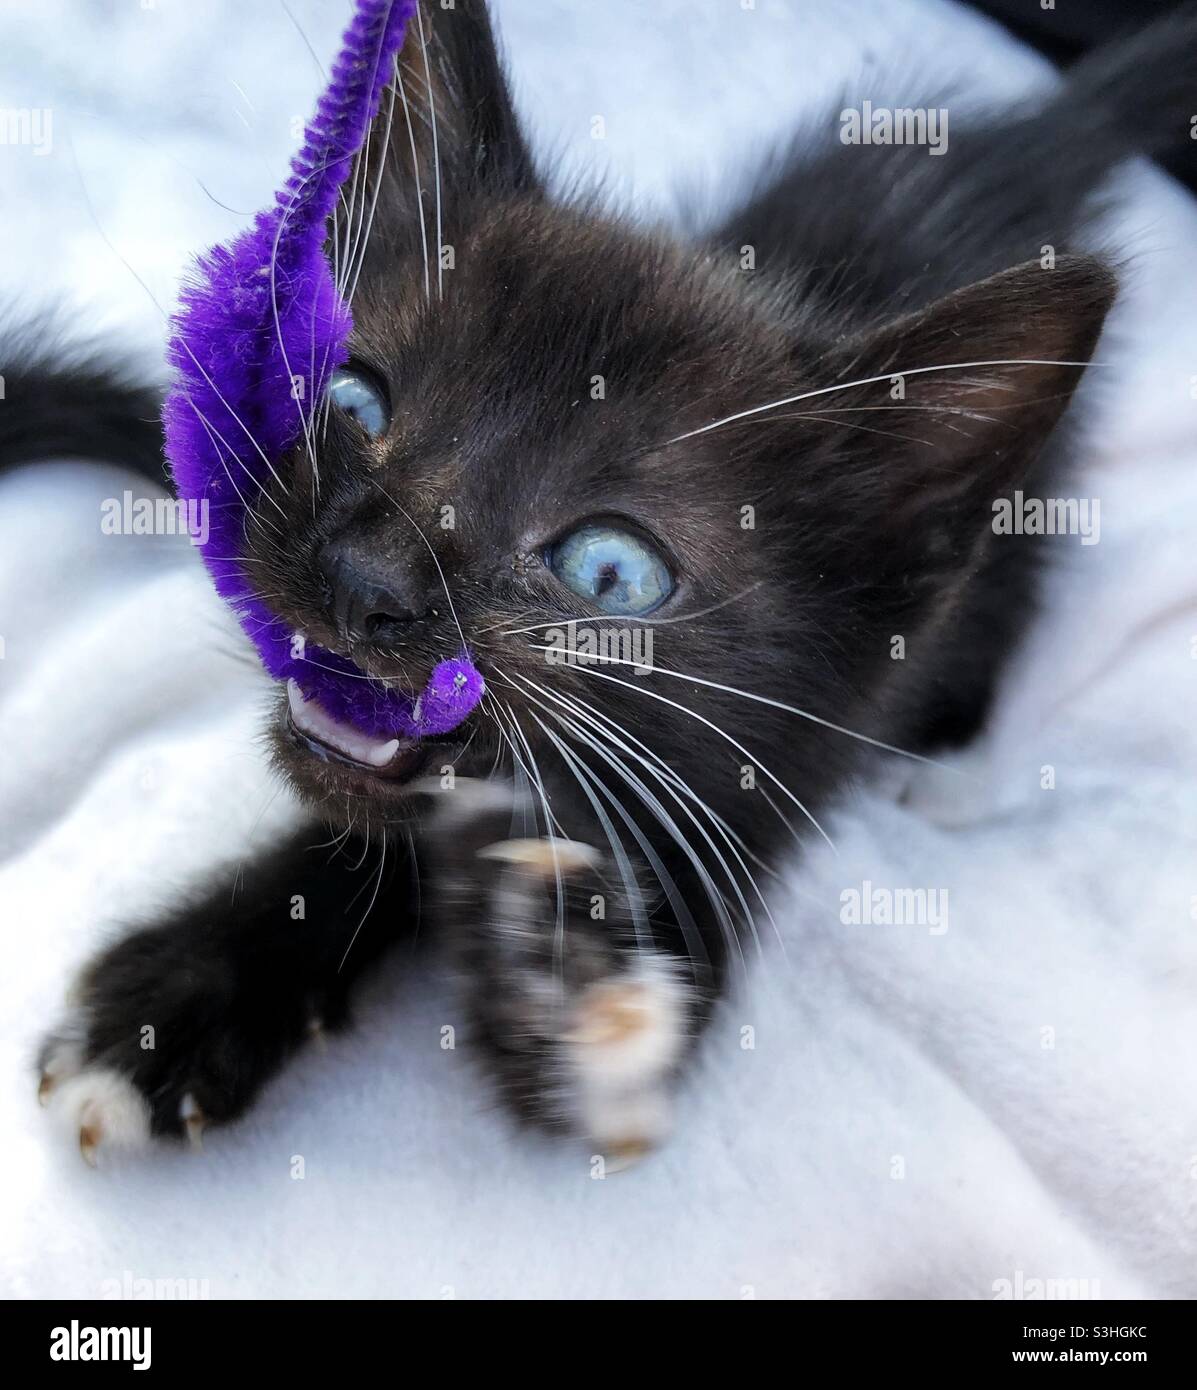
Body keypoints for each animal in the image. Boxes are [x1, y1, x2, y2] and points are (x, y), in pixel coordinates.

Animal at [11, 2, 1195, 1162]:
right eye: (352, 401)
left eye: (610, 571)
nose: (362, 576)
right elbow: (364, 830)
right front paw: (175, 1001)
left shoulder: (785, 762)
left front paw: (580, 980)